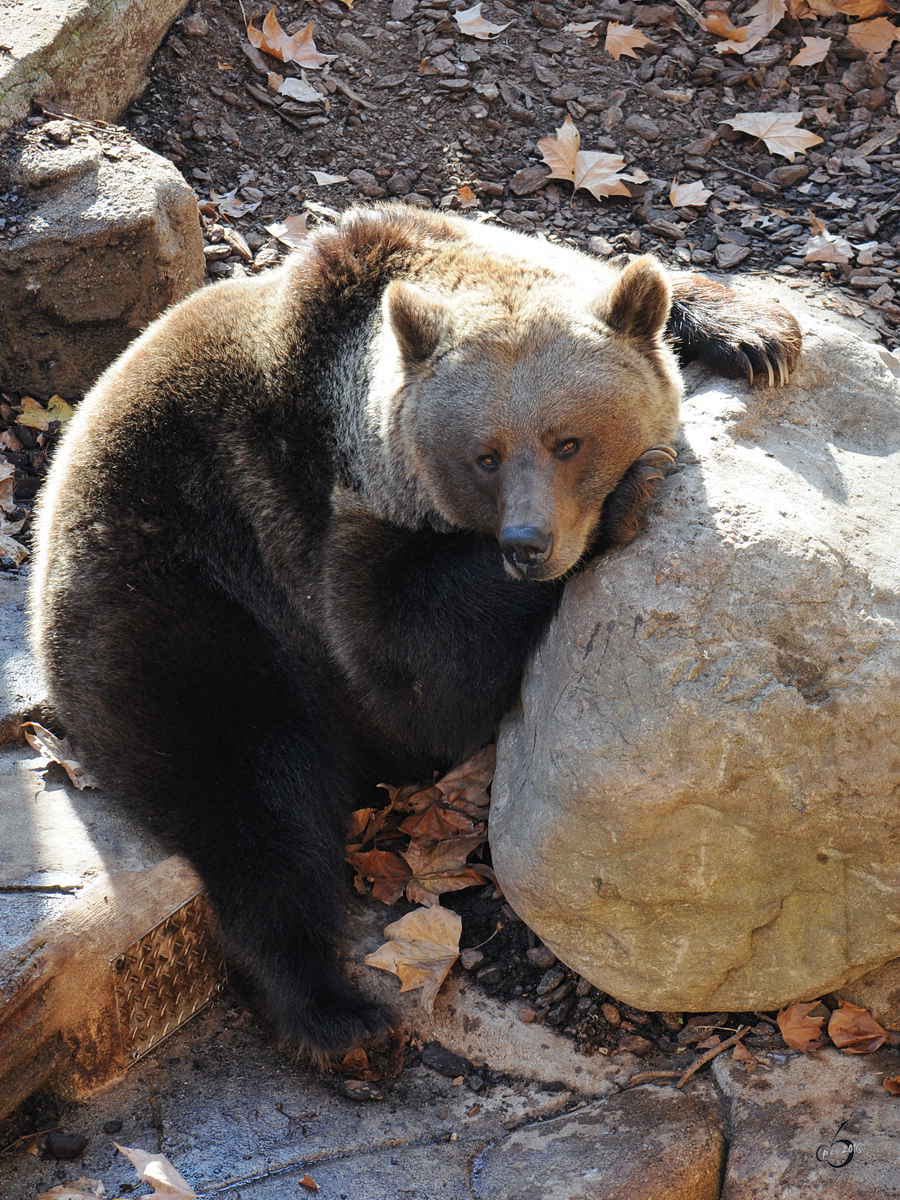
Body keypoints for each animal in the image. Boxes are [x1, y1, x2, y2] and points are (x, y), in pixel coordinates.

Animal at [30, 206, 801, 1060]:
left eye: (567, 440)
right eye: (485, 456)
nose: (528, 545)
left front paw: (756, 331)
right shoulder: (314, 528)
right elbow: (415, 668)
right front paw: (631, 493)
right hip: (178, 614)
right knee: (253, 801)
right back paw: (336, 1015)